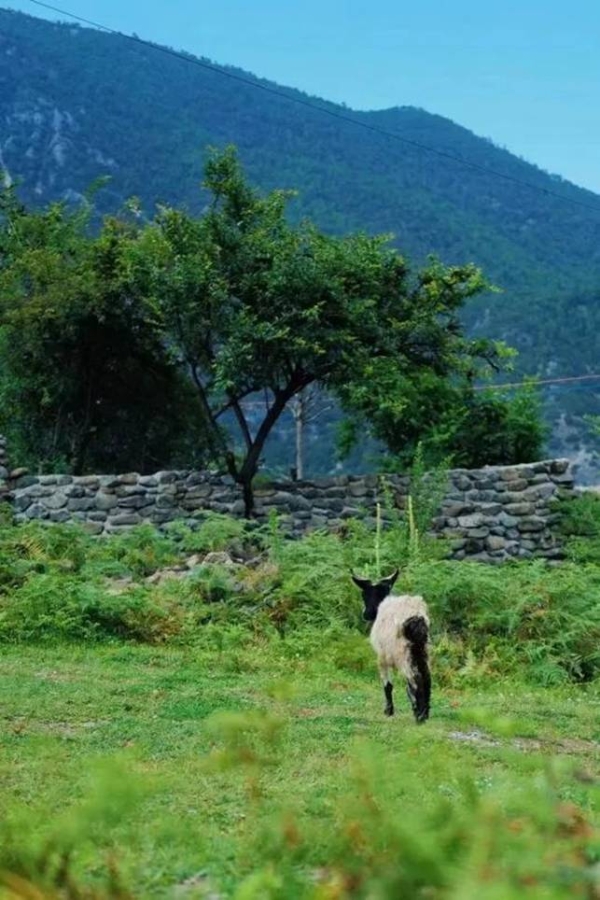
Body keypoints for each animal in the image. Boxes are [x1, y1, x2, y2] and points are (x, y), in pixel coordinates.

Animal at [352, 568, 432, 724]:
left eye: (364, 594)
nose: (366, 615)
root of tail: (416, 616)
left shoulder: (382, 655)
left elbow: (387, 684)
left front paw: (389, 711)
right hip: (422, 649)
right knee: (426, 676)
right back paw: (424, 713)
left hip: (403, 652)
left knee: (414, 678)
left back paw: (419, 715)